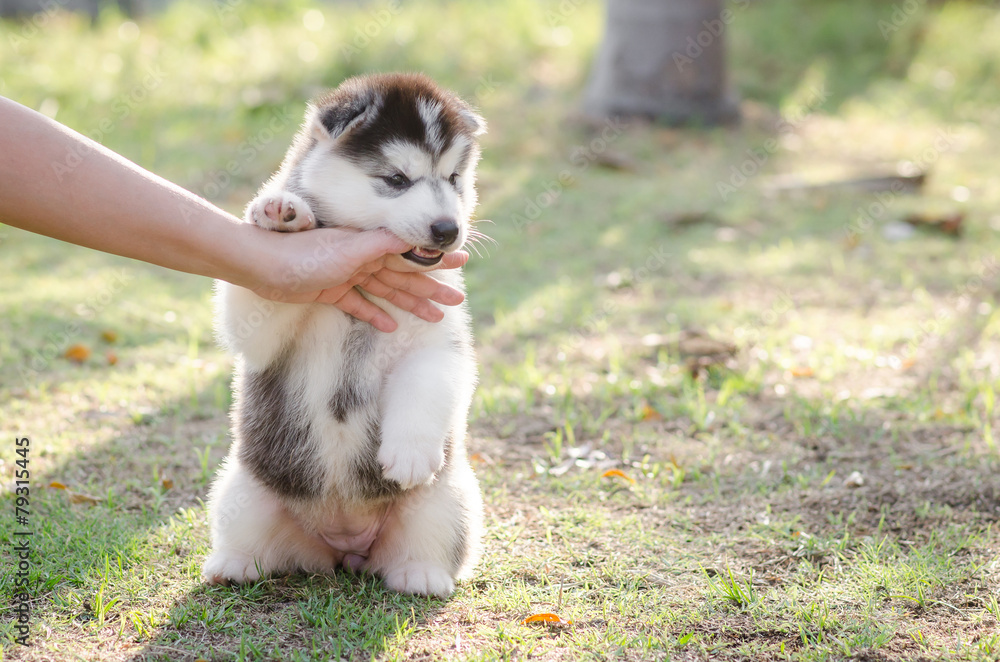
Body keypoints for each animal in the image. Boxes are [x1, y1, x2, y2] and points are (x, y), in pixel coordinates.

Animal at [202, 75, 484, 600]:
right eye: (396, 179)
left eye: (454, 178)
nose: (447, 229)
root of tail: (345, 545)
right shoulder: (263, 339)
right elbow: (257, 309)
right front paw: (283, 214)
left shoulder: (438, 338)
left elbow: (426, 380)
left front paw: (409, 452)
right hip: (241, 489)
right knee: (251, 540)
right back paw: (234, 564)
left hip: (450, 497)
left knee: (427, 544)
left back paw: (421, 575)